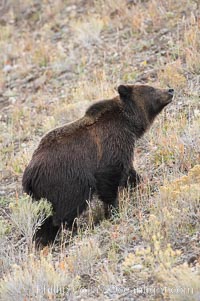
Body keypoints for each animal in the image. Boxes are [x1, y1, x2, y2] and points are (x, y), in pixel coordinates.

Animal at [22, 84, 174, 244]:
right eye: (150, 89)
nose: (170, 90)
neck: (127, 123)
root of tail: (28, 176)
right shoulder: (110, 145)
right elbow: (109, 178)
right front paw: (113, 210)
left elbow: (128, 171)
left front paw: (142, 183)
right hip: (65, 181)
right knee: (66, 209)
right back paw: (75, 229)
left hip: (43, 194)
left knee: (45, 217)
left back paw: (44, 239)